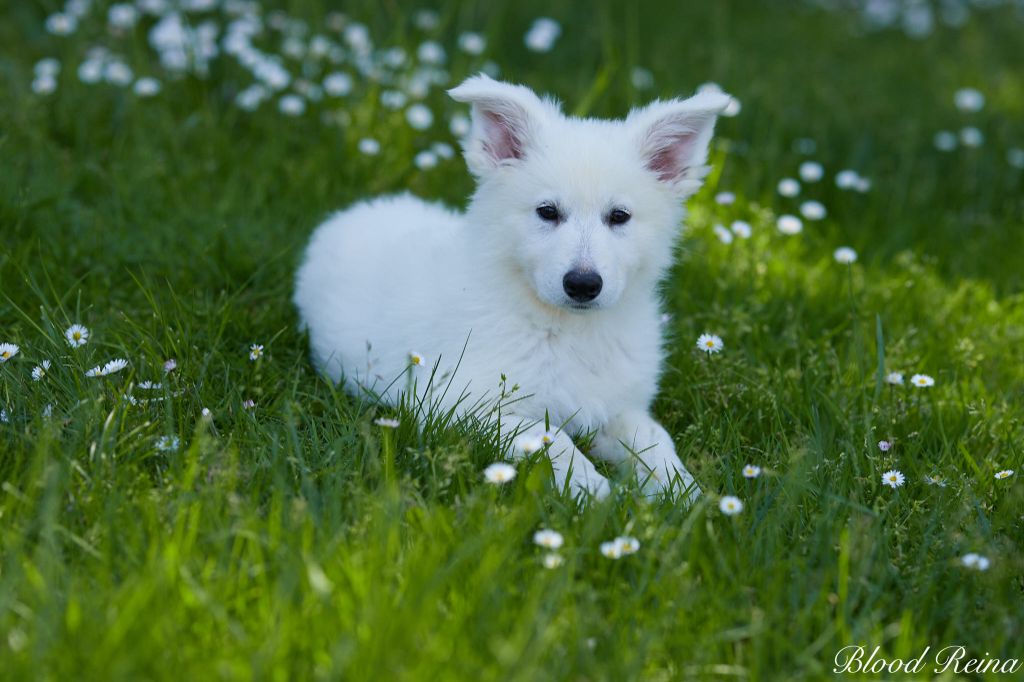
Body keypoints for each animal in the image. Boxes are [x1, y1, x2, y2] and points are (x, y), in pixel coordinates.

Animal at [292, 74, 733, 499]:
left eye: (619, 216)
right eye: (547, 212)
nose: (583, 284)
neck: (567, 330)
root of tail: (351, 215)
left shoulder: (619, 407)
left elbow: (655, 443)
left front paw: (687, 496)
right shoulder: (461, 403)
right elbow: (551, 438)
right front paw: (591, 490)